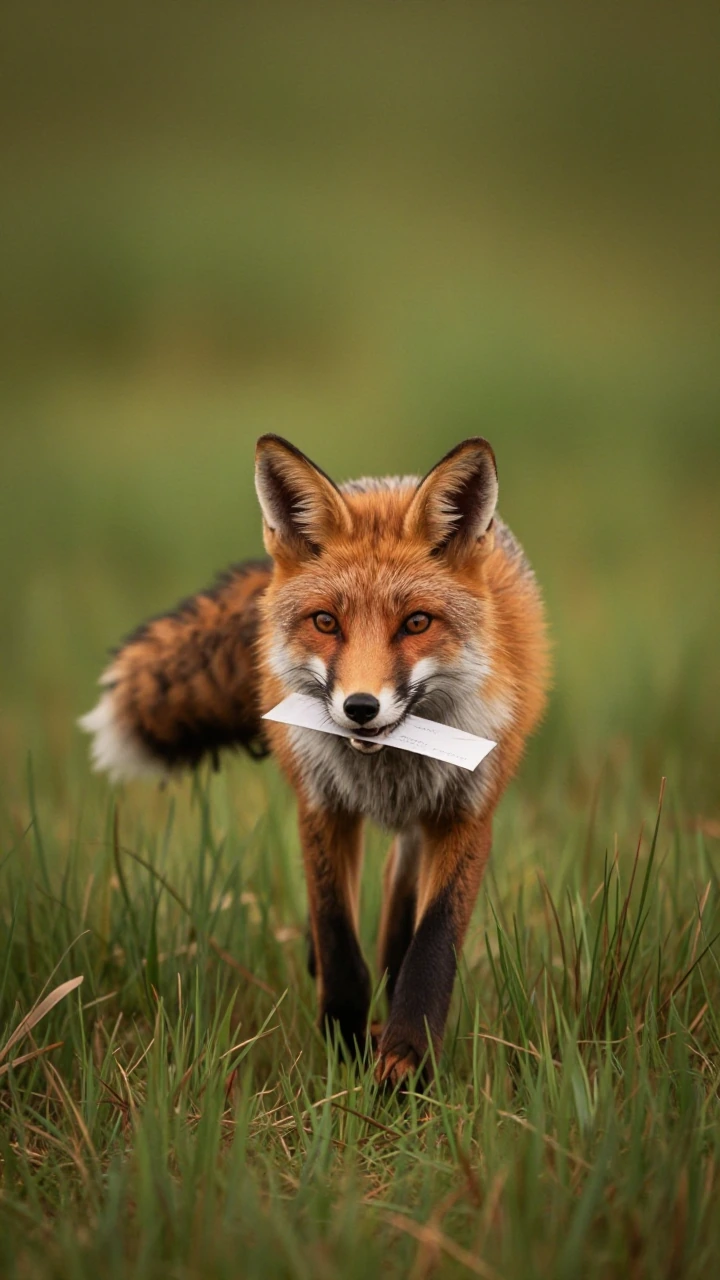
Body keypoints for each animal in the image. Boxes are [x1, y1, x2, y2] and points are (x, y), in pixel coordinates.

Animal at [81, 434, 549, 1085]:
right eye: (326, 621)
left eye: (417, 623)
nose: (360, 707)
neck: (385, 771)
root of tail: (383, 482)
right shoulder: (324, 806)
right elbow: (336, 937)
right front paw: (345, 1048)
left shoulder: (466, 814)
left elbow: (432, 946)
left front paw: (404, 1063)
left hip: (423, 826)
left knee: (398, 900)